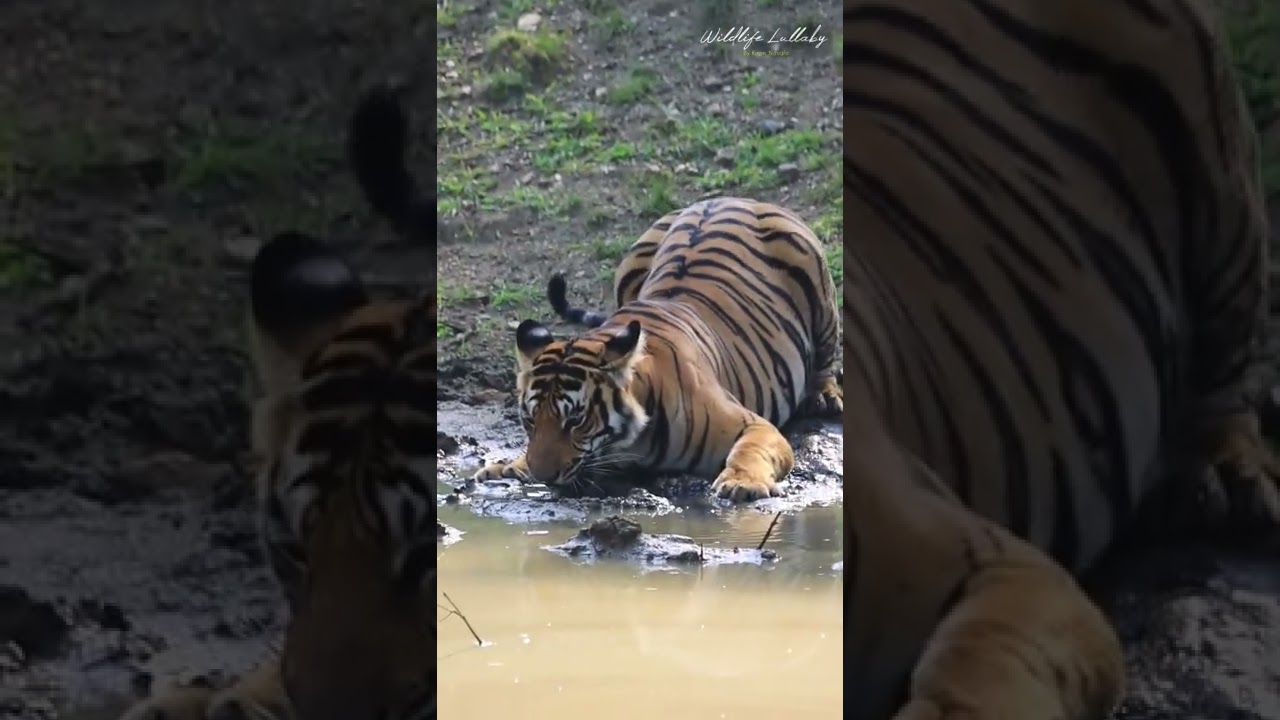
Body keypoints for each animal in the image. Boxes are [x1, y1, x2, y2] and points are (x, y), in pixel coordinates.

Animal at [473, 197, 844, 502]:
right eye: (529, 420)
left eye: (575, 421)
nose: (543, 476)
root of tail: (731, 197)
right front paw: (509, 465)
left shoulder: (755, 425)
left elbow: (749, 451)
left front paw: (742, 483)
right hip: (633, 258)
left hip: (816, 280)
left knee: (825, 356)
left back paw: (824, 395)